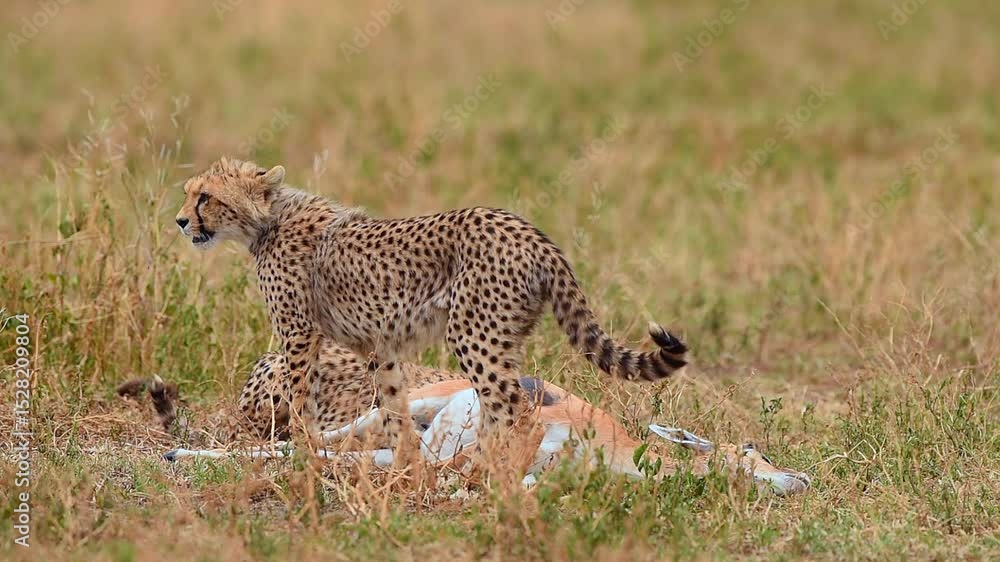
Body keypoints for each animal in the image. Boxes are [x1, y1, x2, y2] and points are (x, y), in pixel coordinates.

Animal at [174, 157, 688, 465]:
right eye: (190, 193)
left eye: (205, 197)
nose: (180, 221)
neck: (268, 220)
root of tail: (529, 231)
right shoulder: (382, 345)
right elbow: (392, 402)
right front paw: (406, 460)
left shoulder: (299, 334)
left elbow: (302, 399)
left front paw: (304, 447)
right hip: (499, 336)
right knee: (502, 406)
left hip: (474, 334)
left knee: (515, 407)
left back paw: (484, 467)